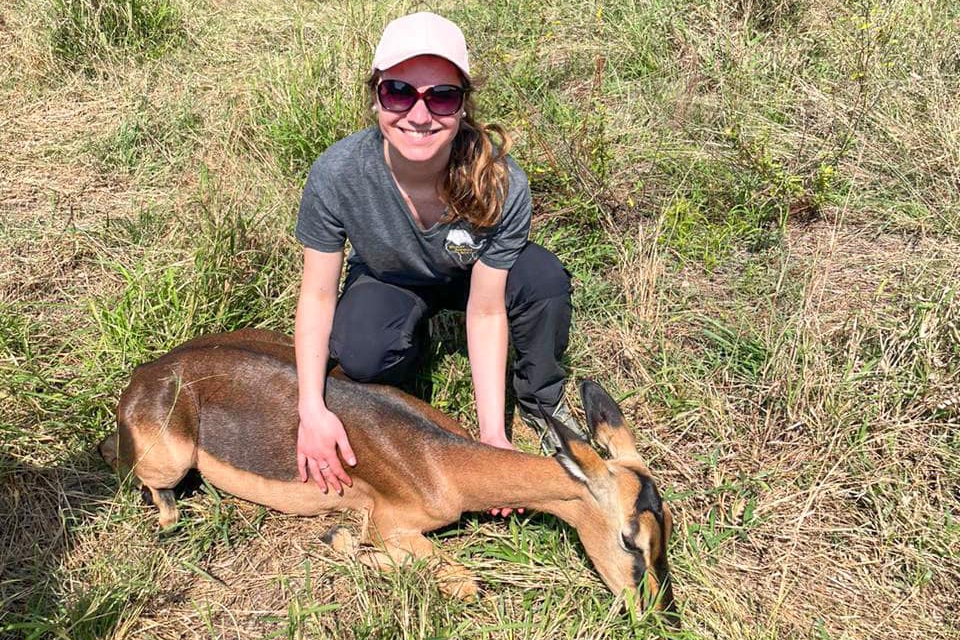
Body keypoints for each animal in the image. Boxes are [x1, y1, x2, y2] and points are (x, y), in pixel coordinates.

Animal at [99, 328, 674, 616]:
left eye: (666, 531)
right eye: (630, 539)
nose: (657, 611)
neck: (440, 461)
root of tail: (145, 374)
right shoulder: (389, 523)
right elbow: (465, 582)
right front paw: (339, 541)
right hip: (170, 459)